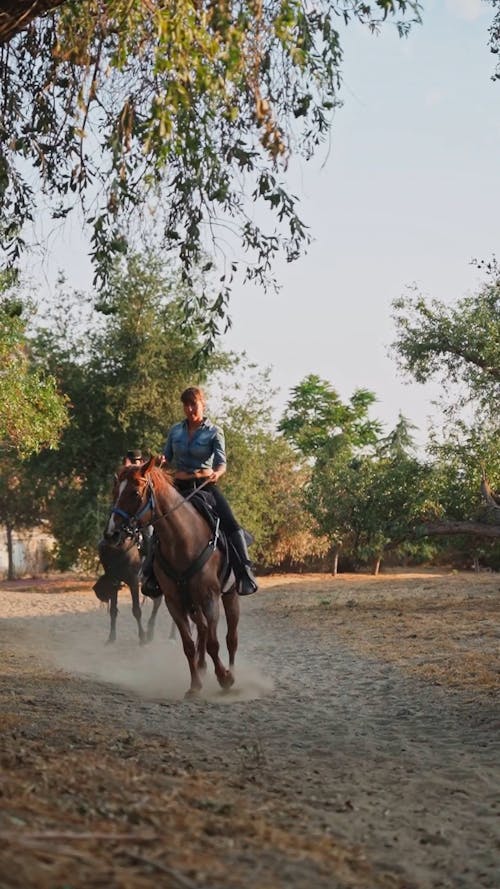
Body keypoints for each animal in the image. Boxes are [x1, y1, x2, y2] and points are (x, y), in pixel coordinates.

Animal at [106, 458, 240, 692]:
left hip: (229, 595)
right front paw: (194, 686)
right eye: (115, 491)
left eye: (135, 493)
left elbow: (214, 643)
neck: (183, 540)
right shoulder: (174, 602)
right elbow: (188, 644)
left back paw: (231, 672)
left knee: (231, 637)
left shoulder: (210, 598)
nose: (112, 533)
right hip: (192, 604)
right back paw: (202, 667)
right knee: (202, 630)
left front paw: (225, 678)